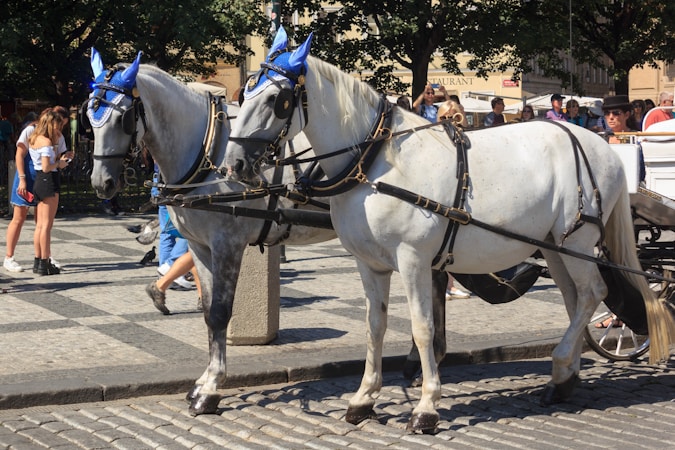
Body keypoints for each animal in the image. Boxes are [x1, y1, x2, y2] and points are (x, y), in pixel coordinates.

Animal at [84, 49, 449, 416]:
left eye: (123, 117)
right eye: (89, 115)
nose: (102, 183)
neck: (208, 151)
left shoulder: (228, 244)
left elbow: (220, 313)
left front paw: (211, 388)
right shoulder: (200, 247)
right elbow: (208, 313)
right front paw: (203, 381)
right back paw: (422, 362)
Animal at [223, 27, 675, 433]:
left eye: (277, 100)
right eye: (244, 95)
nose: (233, 165)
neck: (375, 160)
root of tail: (601, 146)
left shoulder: (413, 261)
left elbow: (423, 329)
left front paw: (426, 407)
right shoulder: (370, 264)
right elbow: (375, 326)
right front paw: (363, 399)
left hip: (576, 239)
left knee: (593, 293)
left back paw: (563, 364)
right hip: (552, 245)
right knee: (574, 298)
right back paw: (564, 378)